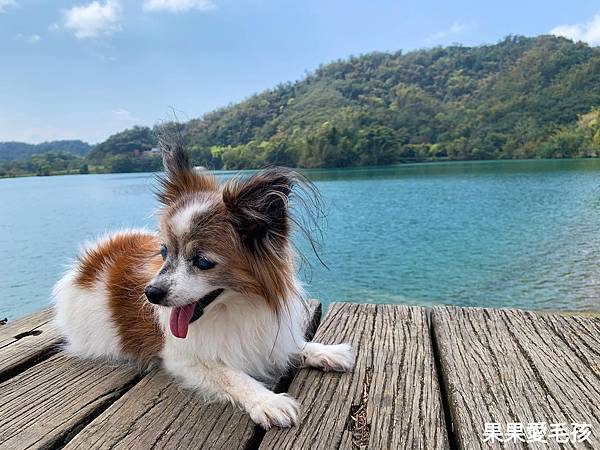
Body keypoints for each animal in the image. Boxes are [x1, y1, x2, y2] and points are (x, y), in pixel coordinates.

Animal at [52, 134, 352, 428]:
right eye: (164, 252)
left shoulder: (267, 338)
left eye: (203, 262)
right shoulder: (183, 359)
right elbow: (232, 375)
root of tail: (92, 259)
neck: (236, 309)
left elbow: (292, 346)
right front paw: (267, 400)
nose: (151, 293)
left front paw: (323, 351)